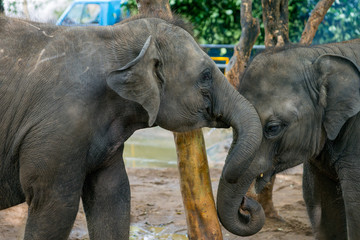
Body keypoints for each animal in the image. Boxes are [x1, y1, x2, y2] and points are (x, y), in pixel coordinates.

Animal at [0, 15, 264, 239]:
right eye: (206, 75)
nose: (246, 204)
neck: (117, 35)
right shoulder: (62, 125)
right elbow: (55, 204)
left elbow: (112, 195)